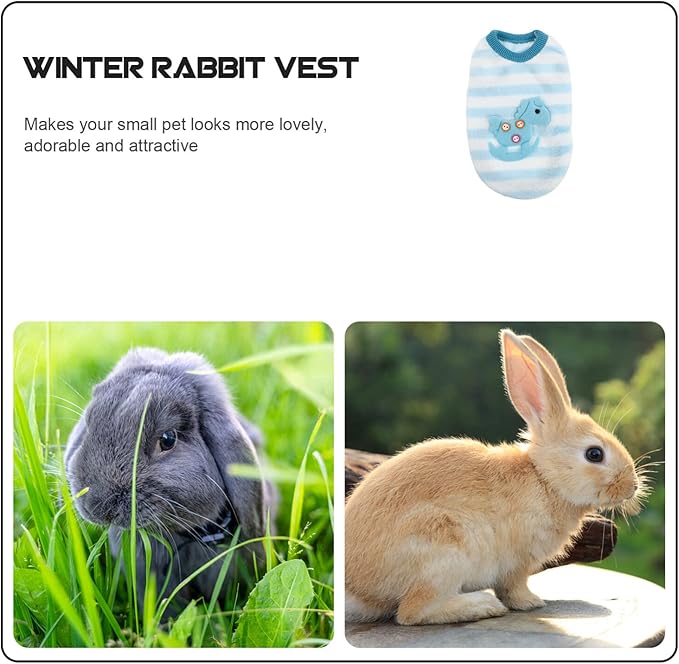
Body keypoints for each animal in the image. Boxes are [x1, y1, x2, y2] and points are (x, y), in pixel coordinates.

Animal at [345, 330, 646, 626]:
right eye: (594, 454)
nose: (632, 487)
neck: (544, 479)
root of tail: (357, 589)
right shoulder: (517, 563)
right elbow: (513, 587)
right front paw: (531, 602)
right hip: (442, 548)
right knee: (412, 612)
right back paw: (483, 606)